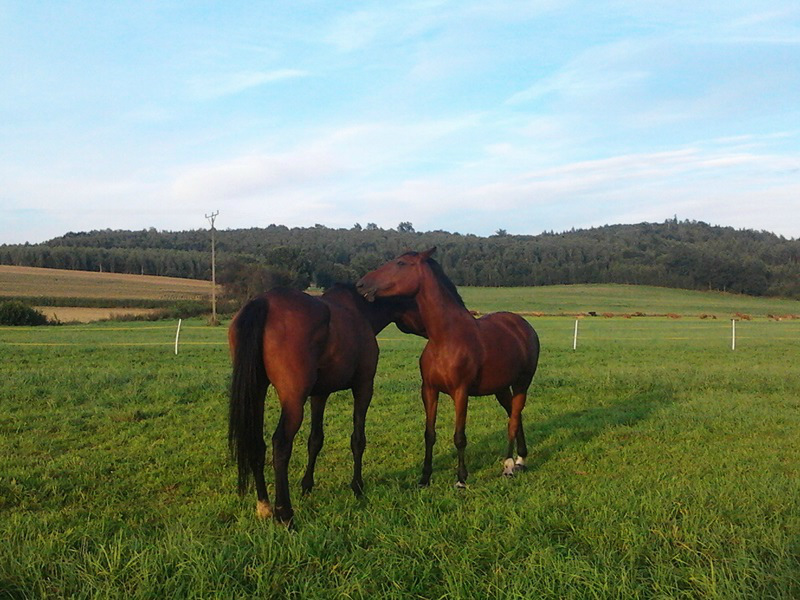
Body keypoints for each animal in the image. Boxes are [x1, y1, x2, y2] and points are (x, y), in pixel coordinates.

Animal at [228, 284, 424, 524]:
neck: (361, 311)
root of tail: (263, 302)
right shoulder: (364, 387)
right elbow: (358, 439)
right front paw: (357, 487)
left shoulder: (319, 395)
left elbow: (315, 440)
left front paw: (307, 486)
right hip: (293, 400)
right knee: (281, 444)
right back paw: (285, 513)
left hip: (256, 391)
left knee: (257, 443)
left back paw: (264, 506)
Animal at [356, 248, 536, 488]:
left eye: (401, 263)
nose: (361, 284)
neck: (445, 338)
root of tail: (524, 326)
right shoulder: (429, 390)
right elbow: (429, 434)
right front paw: (424, 478)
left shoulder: (460, 392)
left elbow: (459, 437)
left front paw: (461, 479)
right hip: (501, 389)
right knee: (515, 416)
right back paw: (520, 459)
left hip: (522, 384)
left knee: (514, 420)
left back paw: (508, 466)